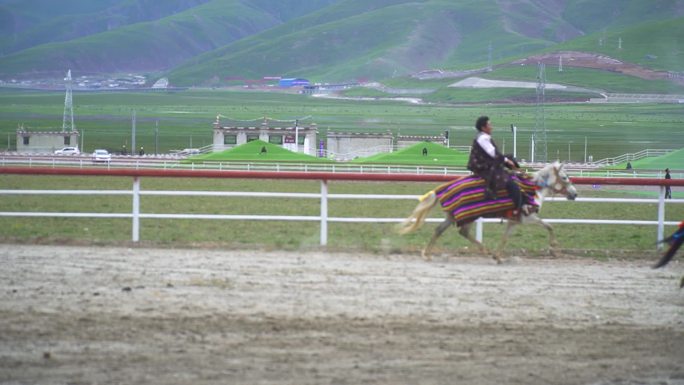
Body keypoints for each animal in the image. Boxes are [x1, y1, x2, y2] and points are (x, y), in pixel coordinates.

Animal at [396, 160, 576, 262]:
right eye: (565, 177)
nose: (574, 194)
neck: (532, 190)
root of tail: (442, 189)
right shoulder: (528, 217)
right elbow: (549, 226)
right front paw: (553, 248)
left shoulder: (514, 221)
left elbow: (505, 238)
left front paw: (498, 257)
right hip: (468, 215)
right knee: (461, 231)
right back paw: (484, 250)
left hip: (453, 216)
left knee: (441, 230)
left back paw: (427, 254)